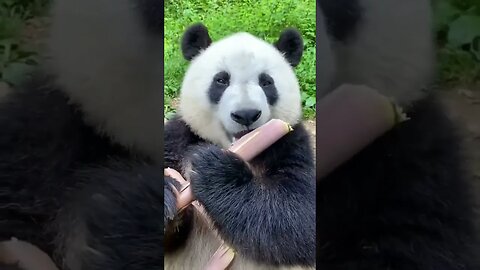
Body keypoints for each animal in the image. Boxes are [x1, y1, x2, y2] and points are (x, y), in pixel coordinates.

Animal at [163, 24, 316, 268]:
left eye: (266, 82)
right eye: (221, 80)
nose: (246, 114)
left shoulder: (291, 144)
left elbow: (301, 214)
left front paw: (215, 171)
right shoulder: (178, 138)